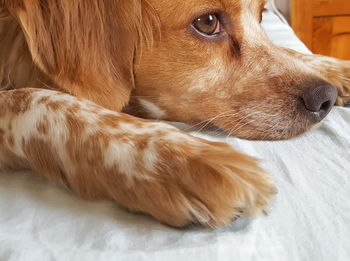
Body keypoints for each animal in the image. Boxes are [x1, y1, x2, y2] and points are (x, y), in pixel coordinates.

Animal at [0, 0, 350, 226]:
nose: (325, 99)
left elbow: (286, 49)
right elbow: (39, 101)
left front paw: (336, 69)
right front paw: (185, 161)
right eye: (208, 23)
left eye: (262, 15)